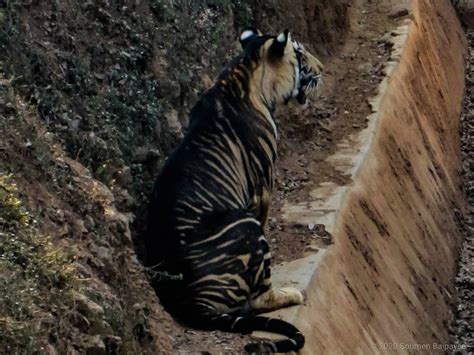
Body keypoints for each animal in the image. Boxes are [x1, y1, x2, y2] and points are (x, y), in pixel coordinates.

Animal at [144, 27, 322, 354]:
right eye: (301, 54)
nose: (322, 69)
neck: (244, 71)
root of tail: (191, 303)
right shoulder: (263, 186)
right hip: (245, 224)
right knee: (258, 299)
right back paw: (291, 293)